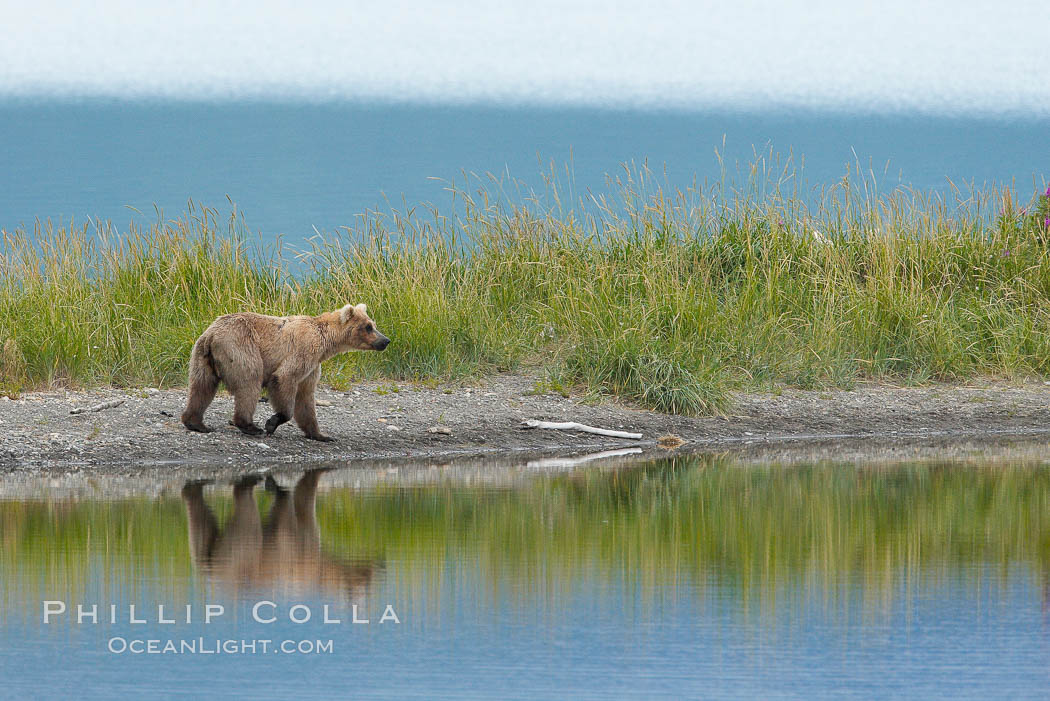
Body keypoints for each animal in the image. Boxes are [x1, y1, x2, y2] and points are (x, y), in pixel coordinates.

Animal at [180, 304, 390, 440]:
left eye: (373, 324)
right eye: (368, 326)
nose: (385, 340)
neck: (326, 344)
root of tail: (212, 334)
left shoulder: (313, 366)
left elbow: (306, 398)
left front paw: (321, 434)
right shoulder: (304, 350)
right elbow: (284, 379)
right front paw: (272, 422)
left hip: (201, 355)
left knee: (202, 387)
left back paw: (196, 423)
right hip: (241, 347)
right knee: (249, 382)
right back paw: (250, 426)